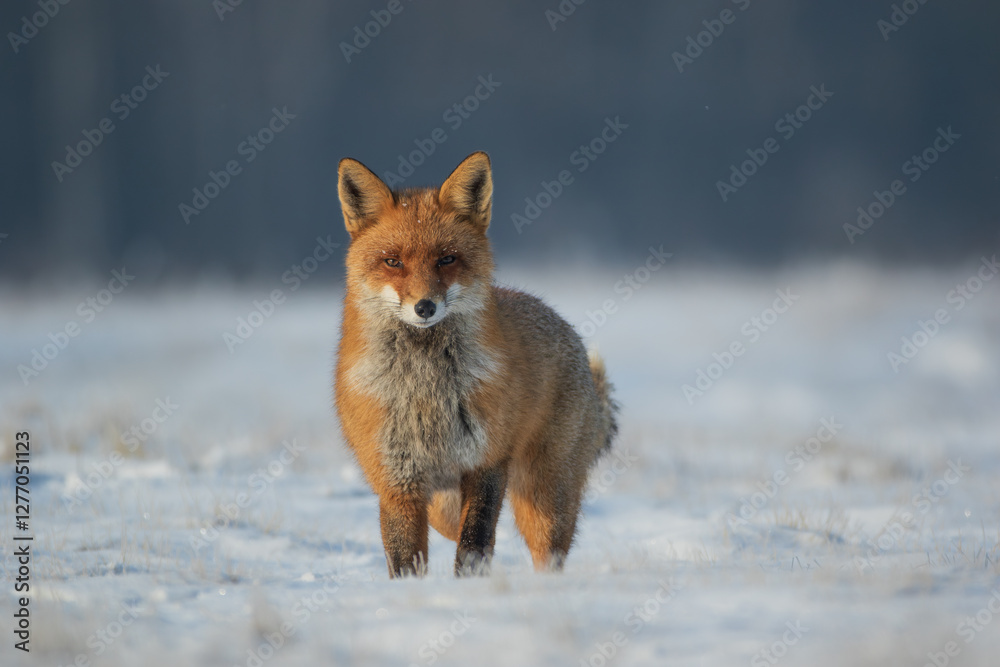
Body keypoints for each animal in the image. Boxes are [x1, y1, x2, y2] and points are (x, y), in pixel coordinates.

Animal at [334, 151, 618, 578]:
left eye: (447, 259)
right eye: (393, 261)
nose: (424, 307)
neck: (425, 393)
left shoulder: (486, 463)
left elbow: (475, 543)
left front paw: (468, 588)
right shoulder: (397, 481)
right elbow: (405, 559)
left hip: (543, 497)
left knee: (548, 553)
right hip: (444, 506)